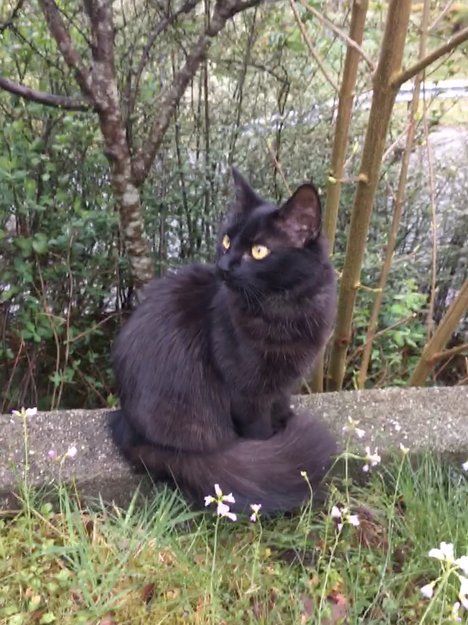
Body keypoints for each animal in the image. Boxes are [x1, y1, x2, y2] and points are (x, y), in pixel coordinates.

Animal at [110, 168, 337, 514]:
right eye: (228, 240)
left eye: (259, 251)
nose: (223, 265)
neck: (283, 307)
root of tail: (135, 436)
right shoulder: (247, 393)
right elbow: (259, 433)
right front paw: (274, 446)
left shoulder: (283, 382)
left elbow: (281, 403)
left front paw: (286, 423)